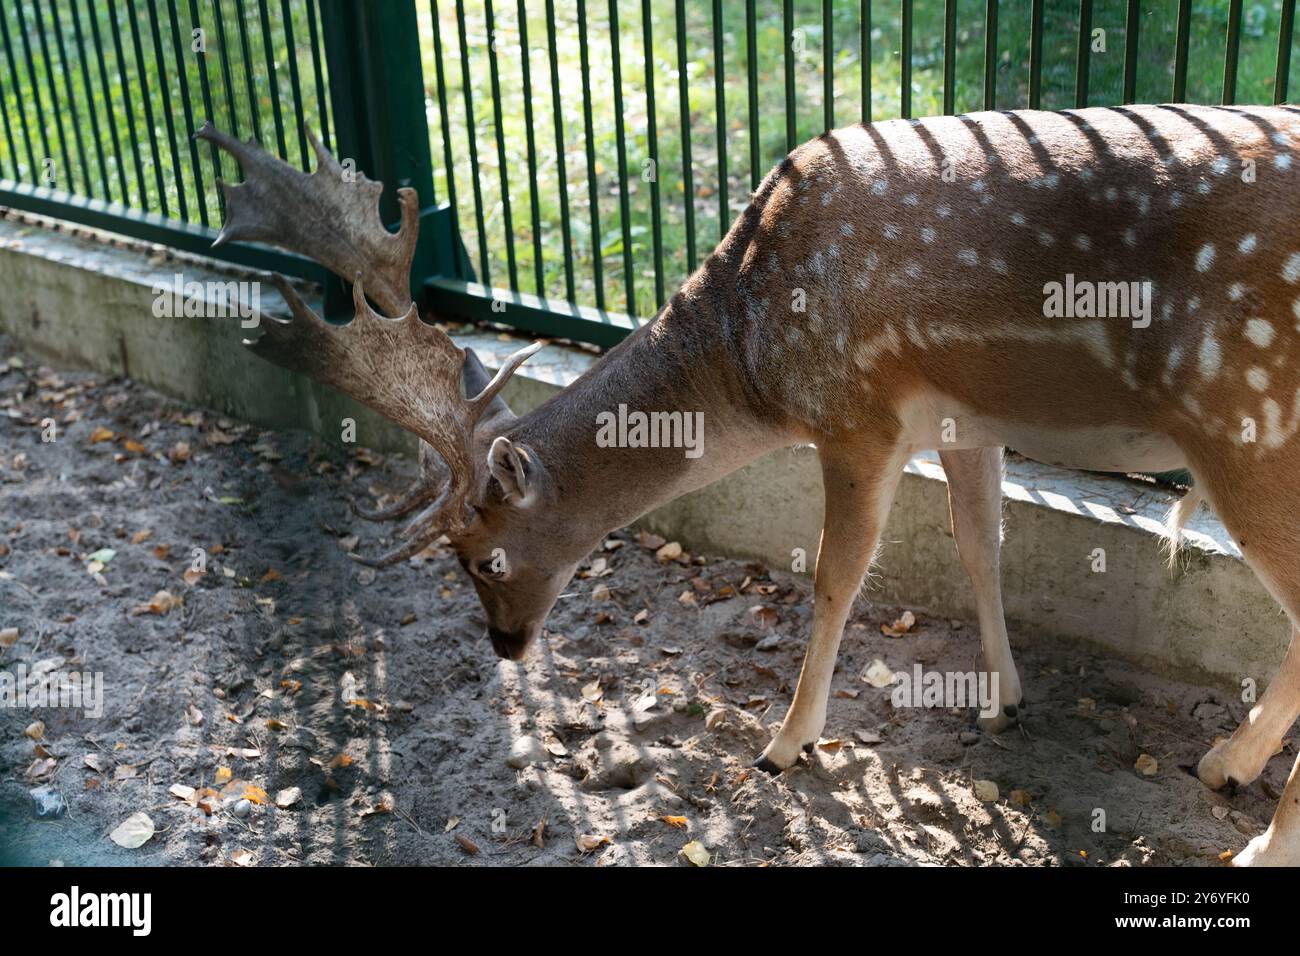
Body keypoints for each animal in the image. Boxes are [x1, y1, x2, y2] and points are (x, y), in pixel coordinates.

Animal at [192, 100, 1300, 863]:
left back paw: (1257, 834)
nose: (503, 644)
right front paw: (1001, 699)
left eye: (482, 554)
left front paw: (785, 741)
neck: (749, 354)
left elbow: (836, 578)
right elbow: (979, 543)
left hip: (1250, 424)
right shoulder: (961, 414)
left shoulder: (856, 411)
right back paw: (1223, 763)